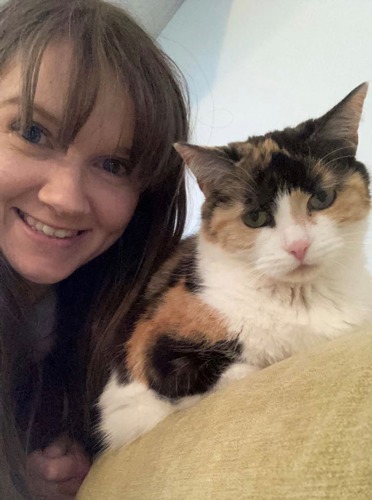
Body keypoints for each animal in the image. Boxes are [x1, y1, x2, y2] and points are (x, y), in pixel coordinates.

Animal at [98, 84, 372, 452]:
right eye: (254, 217)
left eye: (322, 198)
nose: (298, 245)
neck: (300, 299)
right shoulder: (148, 352)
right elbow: (228, 371)